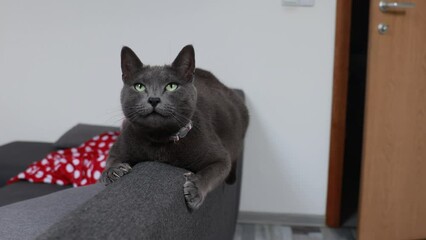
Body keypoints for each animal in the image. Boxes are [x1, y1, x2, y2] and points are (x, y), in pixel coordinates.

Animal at [101, 45, 248, 210]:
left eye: (172, 86)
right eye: (139, 86)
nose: (154, 99)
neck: (159, 140)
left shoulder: (220, 157)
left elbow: (213, 170)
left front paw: (195, 190)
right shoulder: (120, 144)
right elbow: (110, 160)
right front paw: (114, 171)